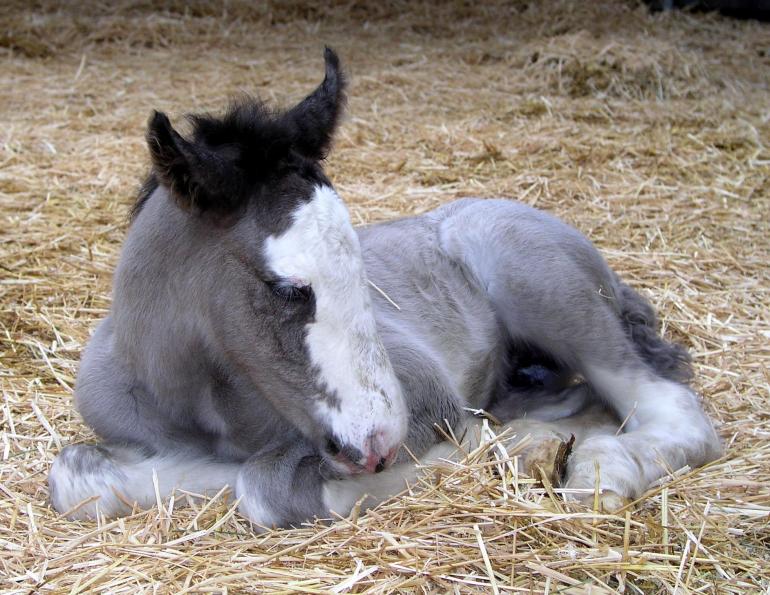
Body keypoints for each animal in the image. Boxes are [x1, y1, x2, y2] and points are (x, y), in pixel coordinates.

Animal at [49, 48, 721, 527]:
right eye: (287, 288)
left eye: (359, 268)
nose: (379, 441)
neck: (200, 401)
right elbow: (74, 475)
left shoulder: (428, 400)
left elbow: (261, 485)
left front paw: (497, 449)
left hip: (551, 293)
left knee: (671, 407)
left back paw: (597, 468)